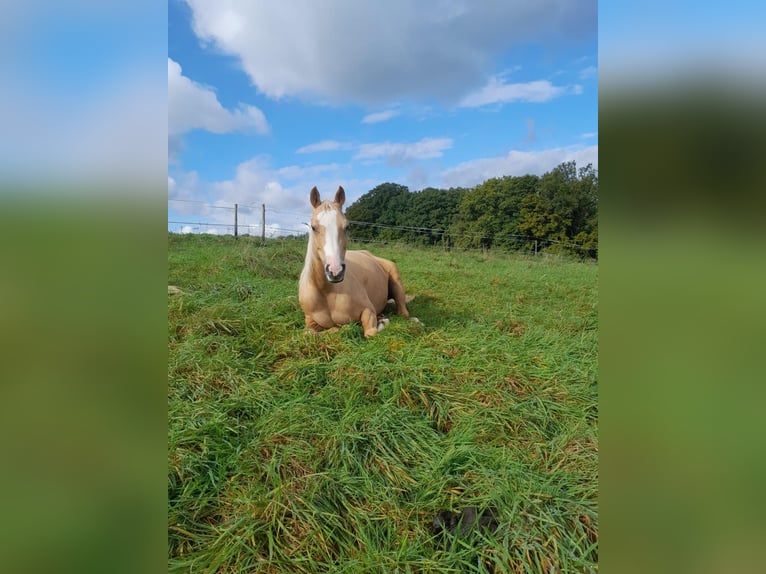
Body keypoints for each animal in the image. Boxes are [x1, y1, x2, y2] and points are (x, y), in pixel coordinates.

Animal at [300, 186, 420, 338]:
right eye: (313, 227)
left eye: (347, 227)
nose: (335, 271)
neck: (326, 293)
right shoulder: (309, 322)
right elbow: (310, 333)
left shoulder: (368, 310)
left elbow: (370, 332)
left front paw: (383, 323)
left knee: (403, 312)